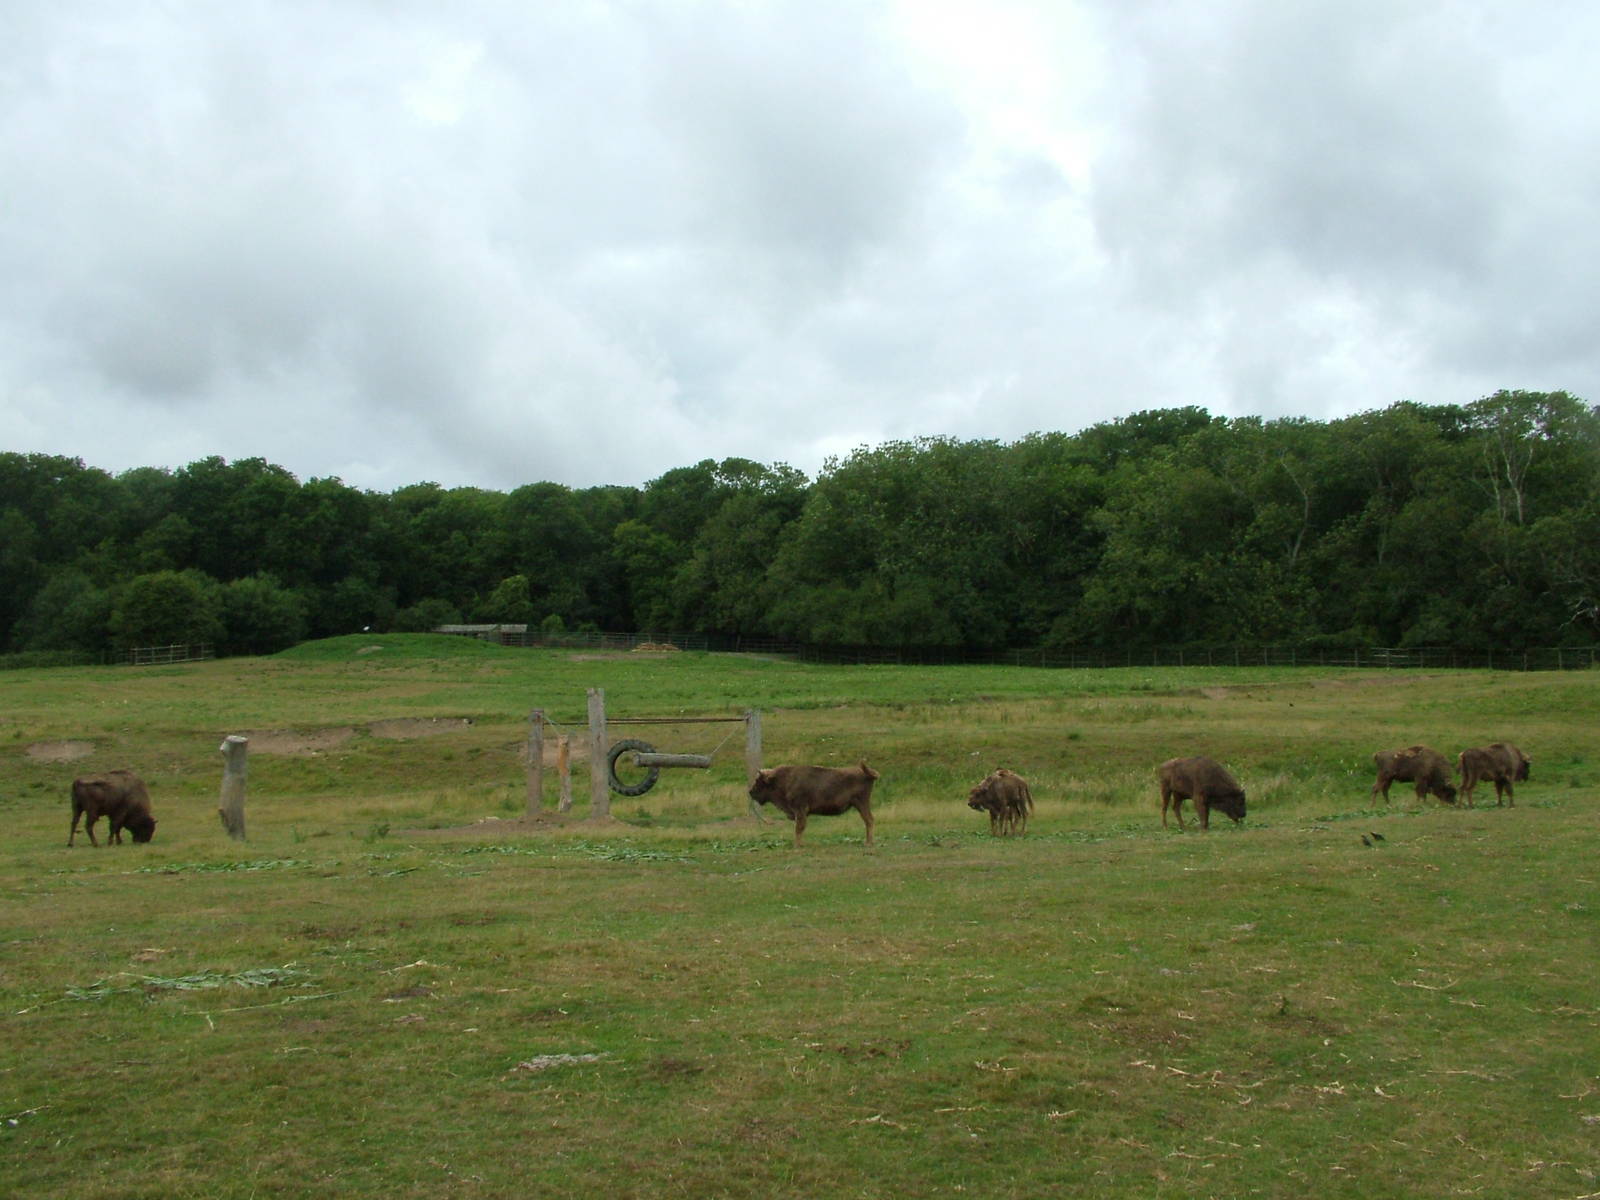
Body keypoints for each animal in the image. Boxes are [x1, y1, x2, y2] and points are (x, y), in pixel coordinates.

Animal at [749, 761, 879, 849]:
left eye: (758, 781)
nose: (750, 792)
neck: (783, 780)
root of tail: (869, 774)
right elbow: (800, 827)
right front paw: (800, 844)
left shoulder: (800, 810)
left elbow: (799, 828)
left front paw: (797, 845)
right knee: (869, 820)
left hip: (861, 803)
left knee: (869, 820)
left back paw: (868, 843)